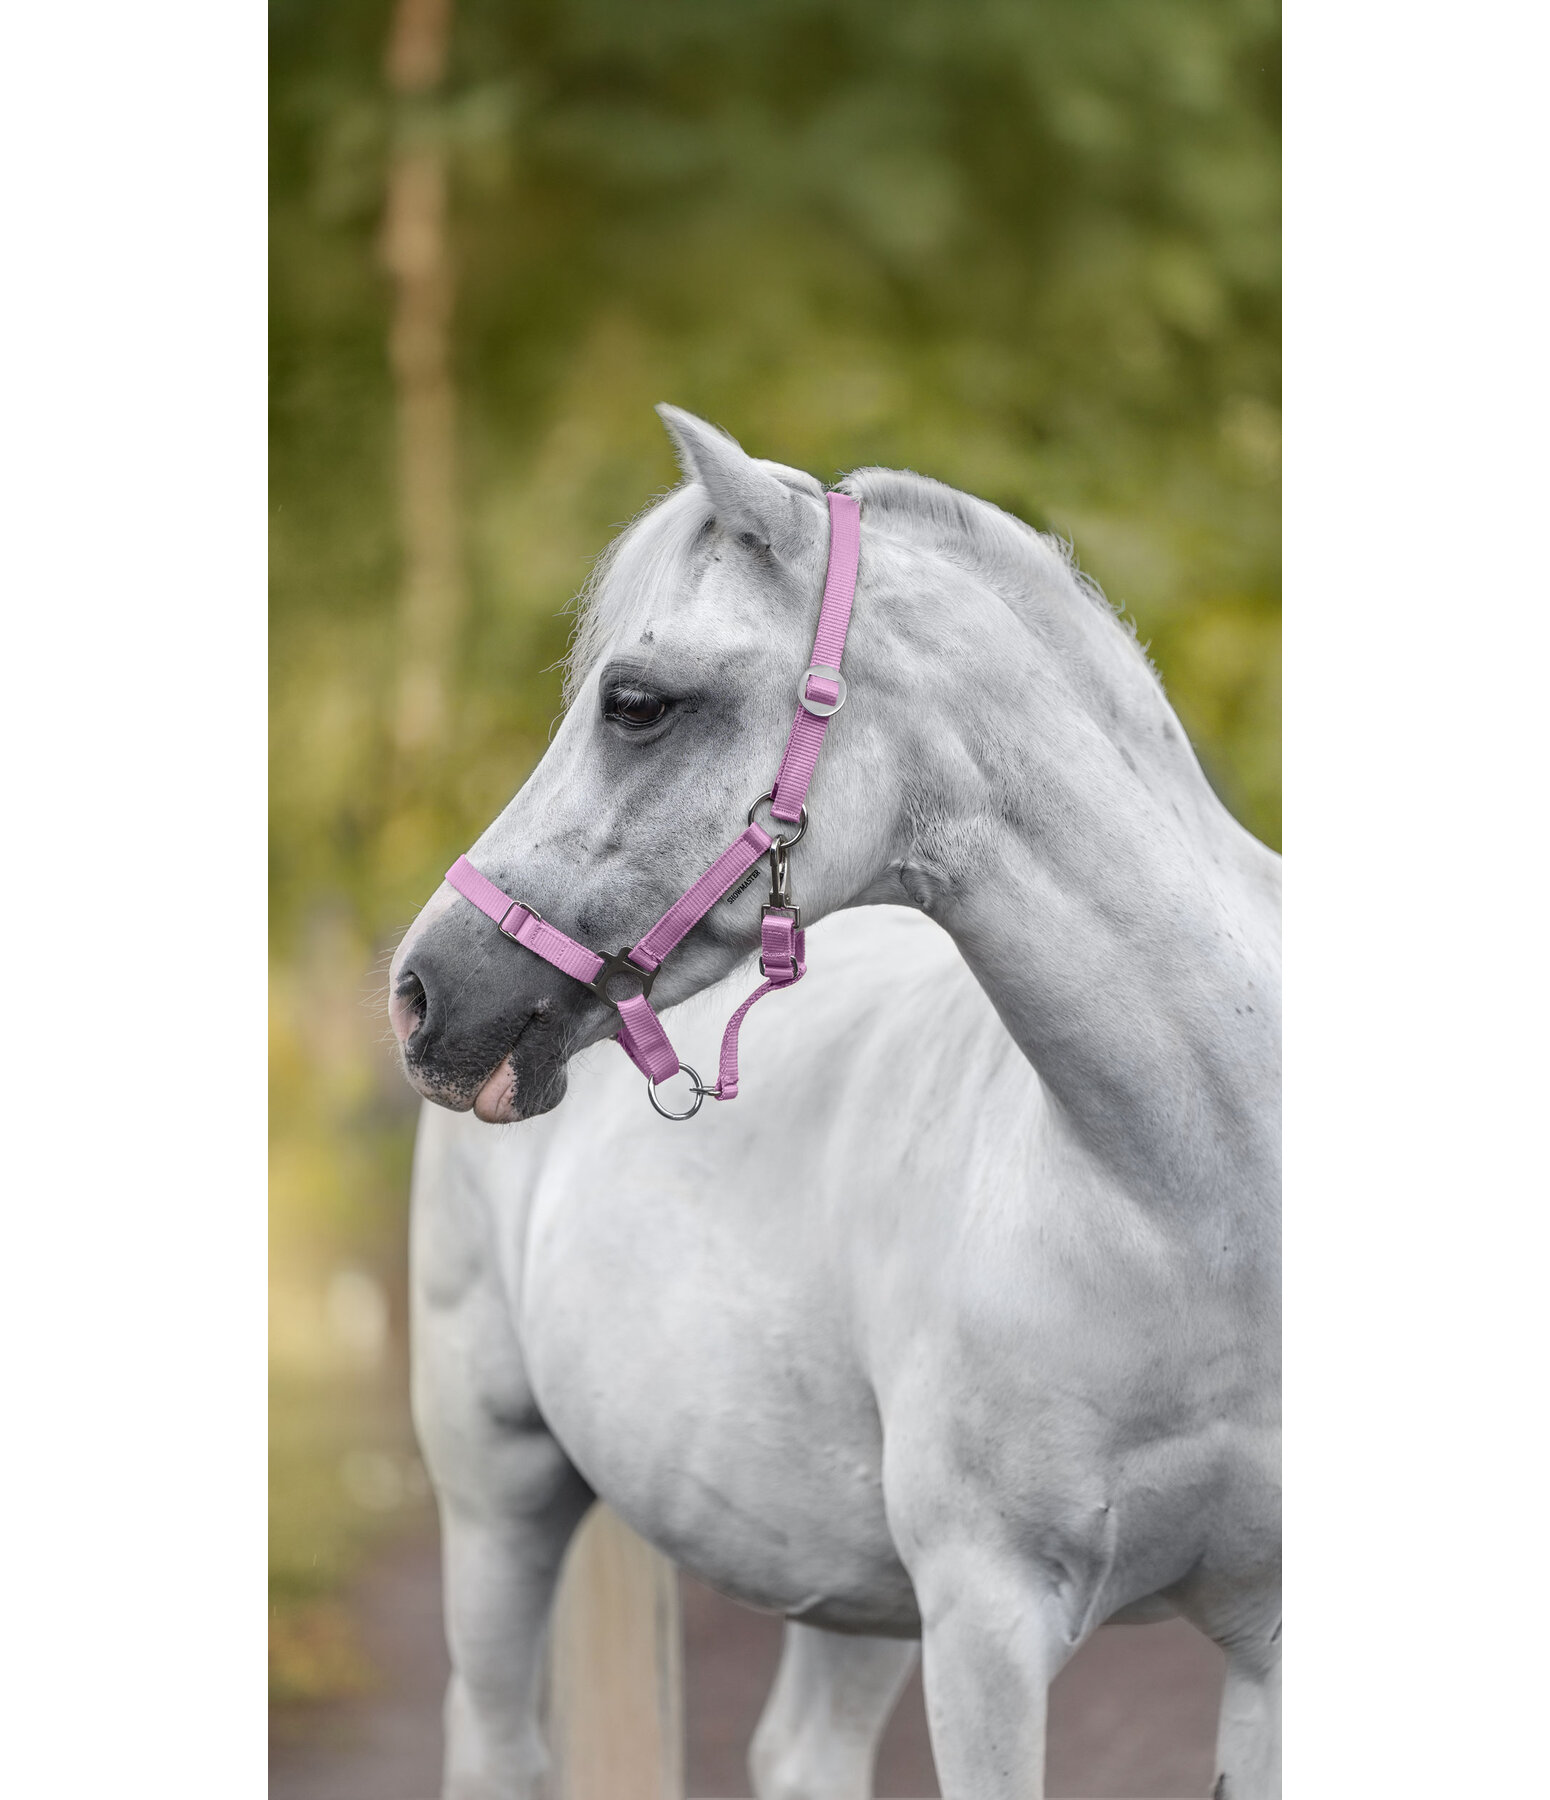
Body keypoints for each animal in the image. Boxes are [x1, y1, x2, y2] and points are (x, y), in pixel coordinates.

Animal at [389, 406, 1282, 1799]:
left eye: (635, 703)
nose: (424, 993)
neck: (1197, 1216)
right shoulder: (985, 1622)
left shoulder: (1263, 1649)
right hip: (499, 1498)